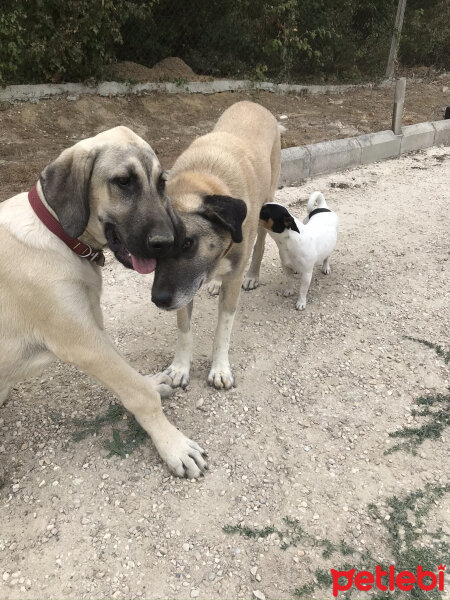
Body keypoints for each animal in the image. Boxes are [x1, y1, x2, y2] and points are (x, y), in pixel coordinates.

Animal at [0, 125, 207, 478]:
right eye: (123, 182)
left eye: (161, 183)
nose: (168, 242)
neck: (58, 235)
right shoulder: (83, 343)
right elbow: (138, 393)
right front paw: (174, 445)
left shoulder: (93, 327)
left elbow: (133, 377)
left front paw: (153, 382)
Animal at [151, 99, 282, 390]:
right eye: (154, 247)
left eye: (188, 243)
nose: (158, 300)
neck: (203, 179)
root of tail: (251, 103)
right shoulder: (182, 290)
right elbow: (184, 330)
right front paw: (180, 368)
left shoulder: (227, 282)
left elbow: (223, 330)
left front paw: (220, 369)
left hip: (266, 204)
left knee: (259, 246)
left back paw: (252, 275)